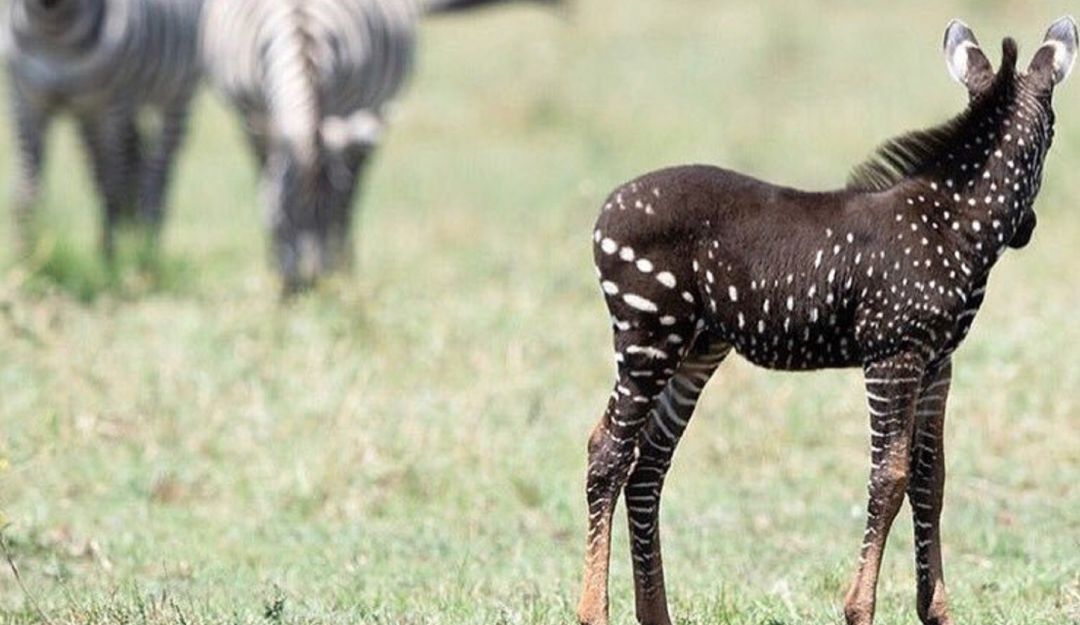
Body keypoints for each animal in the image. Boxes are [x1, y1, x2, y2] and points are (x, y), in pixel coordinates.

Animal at [3, 0, 205, 260]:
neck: (53, 27)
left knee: (157, 172)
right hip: (91, 115)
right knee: (123, 166)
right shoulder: (25, 101)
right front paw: (25, 258)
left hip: (177, 95)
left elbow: (112, 185)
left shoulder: (111, 107)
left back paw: (149, 242)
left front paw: (111, 258)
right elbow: (26, 190)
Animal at [200, 0, 558, 293]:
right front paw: (276, 266)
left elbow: (346, 200)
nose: (313, 284)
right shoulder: (252, 117)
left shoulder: (351, 111)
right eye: (283, 213)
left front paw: (338, 268)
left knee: (356, 186)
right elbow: (264, 181)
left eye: (329, 214)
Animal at [577, 17, 1076, 625]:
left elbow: (930, 479)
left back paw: (656, 614)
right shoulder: (893, 354)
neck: (951, 224)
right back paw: (593, 611)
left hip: (696, 348)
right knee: (607, 453)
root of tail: (607, 207)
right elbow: (890, 477)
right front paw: (859, 607)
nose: (1028, 229)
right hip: (648, 336)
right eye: (1052, 136)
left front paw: (935, 610)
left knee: (648, 463)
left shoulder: (938, 362)